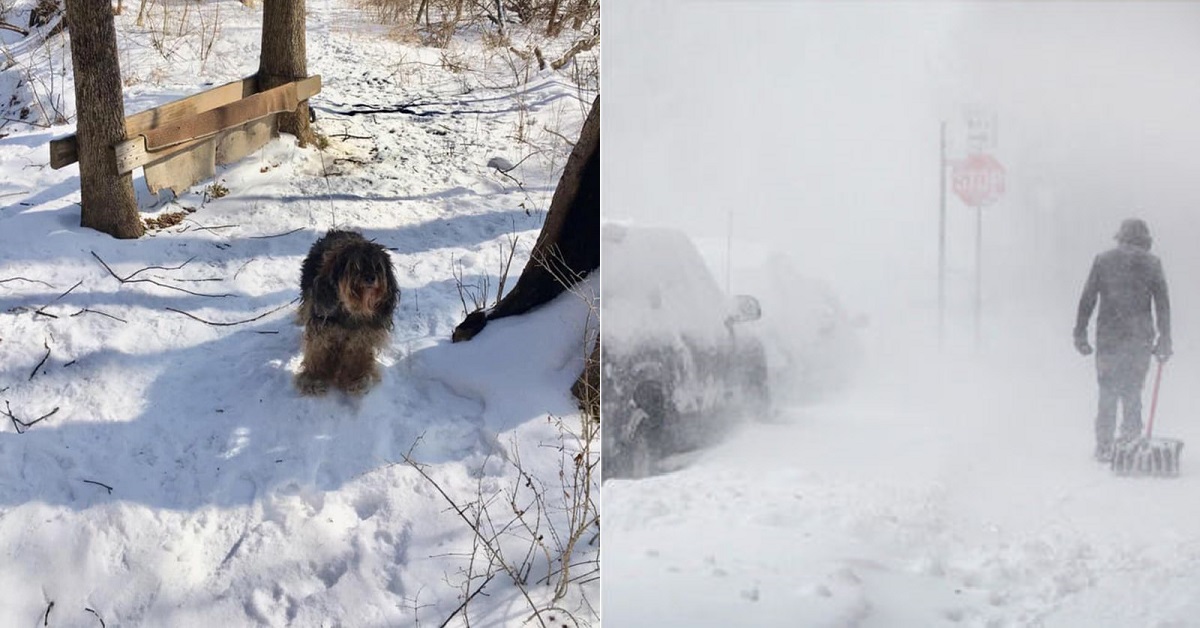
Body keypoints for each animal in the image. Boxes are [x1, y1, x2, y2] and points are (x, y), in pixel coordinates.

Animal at [295, 230, 398, 396]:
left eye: (377, 267)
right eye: (355, 266)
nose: (370, 277)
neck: (352, 311)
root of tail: (339, 231)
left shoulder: (362, 336)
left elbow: (358, 357)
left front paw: (357, 378)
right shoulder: (322, 329)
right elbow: (317, 352)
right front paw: (313, 378)